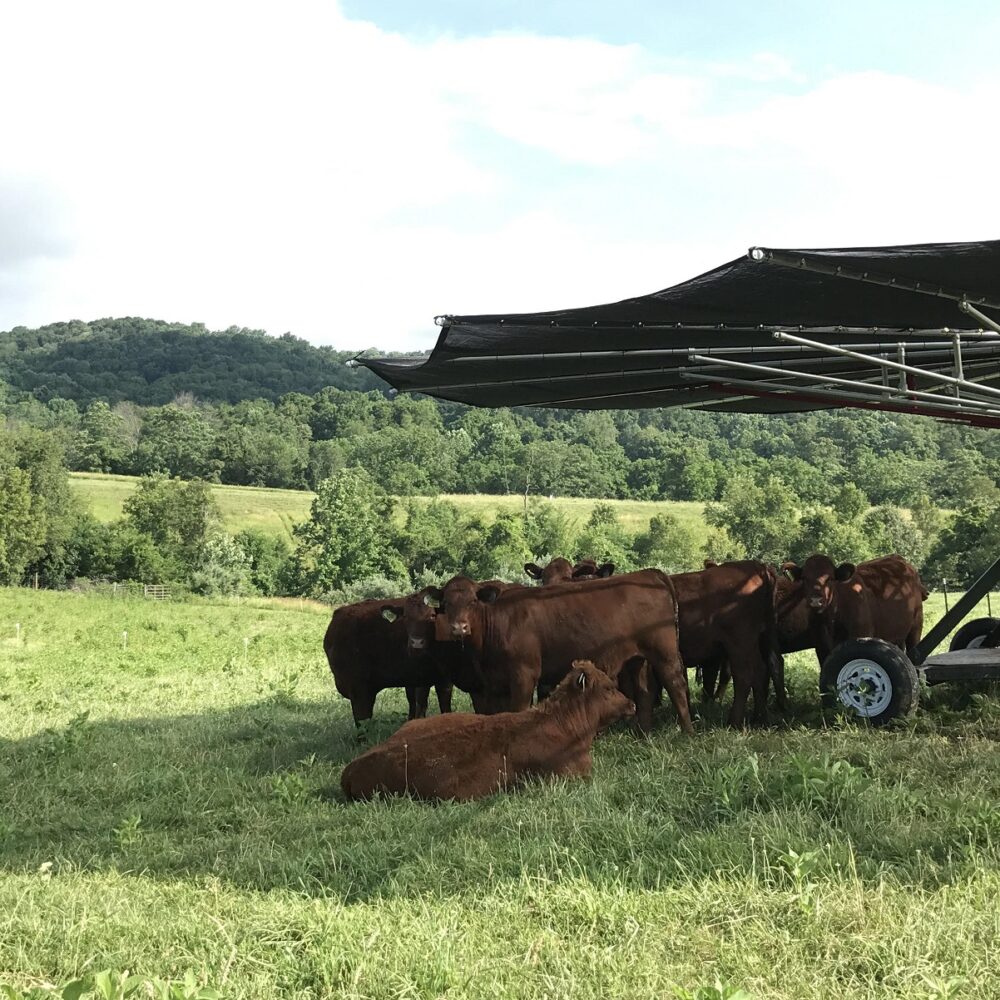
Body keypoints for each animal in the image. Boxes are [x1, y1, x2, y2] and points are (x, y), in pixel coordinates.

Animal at [422, 569, 692, 733]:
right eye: (445, 603)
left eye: (472, 601)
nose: (459, 627)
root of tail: (650, 573)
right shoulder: (495, 683)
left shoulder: (524, 675)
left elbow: (518, 710)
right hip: (637, 658)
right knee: (645, 691)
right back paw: (642, 733)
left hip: (664, 652)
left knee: (676, 684)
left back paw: (686, 731)